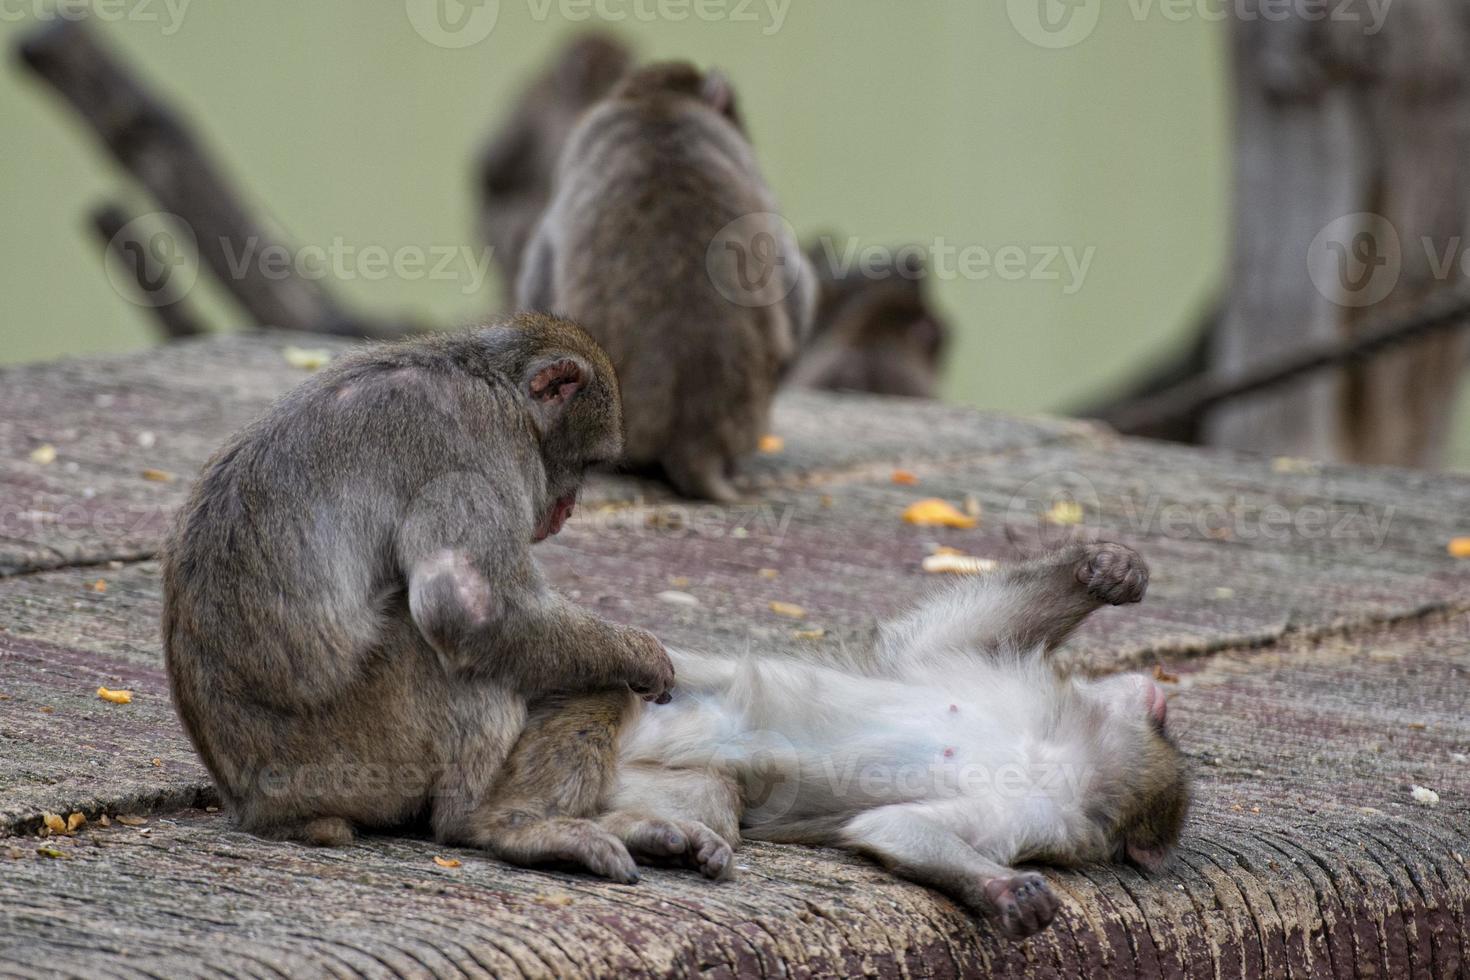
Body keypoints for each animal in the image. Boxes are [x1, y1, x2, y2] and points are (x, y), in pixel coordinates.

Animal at [162, 314, 729, 881]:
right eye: (587, 463)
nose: (568, 508)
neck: (488, 378)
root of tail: (259, 805)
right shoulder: (474, 454)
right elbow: (468, 611)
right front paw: (639, 654)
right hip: (351, 755)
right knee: (443, 645)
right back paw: (491, 822)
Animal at [608, 540, 1193, 940]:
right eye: (1164, 723)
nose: (1156, 700)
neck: (1044, 752)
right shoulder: (992, 682)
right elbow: (935, 640)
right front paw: (1107, 570)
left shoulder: (1038, 816)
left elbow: (893, 824)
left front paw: (1002, 888)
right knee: (673, 667)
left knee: (710, 791)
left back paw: (654, 835)